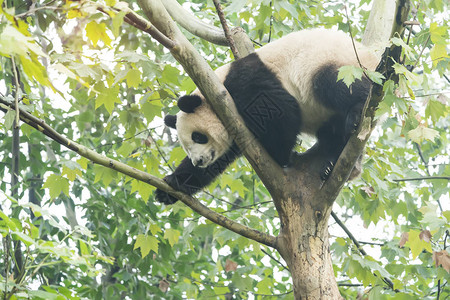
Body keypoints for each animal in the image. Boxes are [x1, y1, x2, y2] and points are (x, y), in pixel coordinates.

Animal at [156, 28, 378, 204]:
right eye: (187, 146)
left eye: (198, 137)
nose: (199, 161)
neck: (217, 86)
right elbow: (222, 157)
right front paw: (170, 187)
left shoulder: (248, 84)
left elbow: (282, 111)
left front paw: (281, 156)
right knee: (334, 133)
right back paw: (337, 165)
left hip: (339, 64)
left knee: (338, 86)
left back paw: (357, 113)